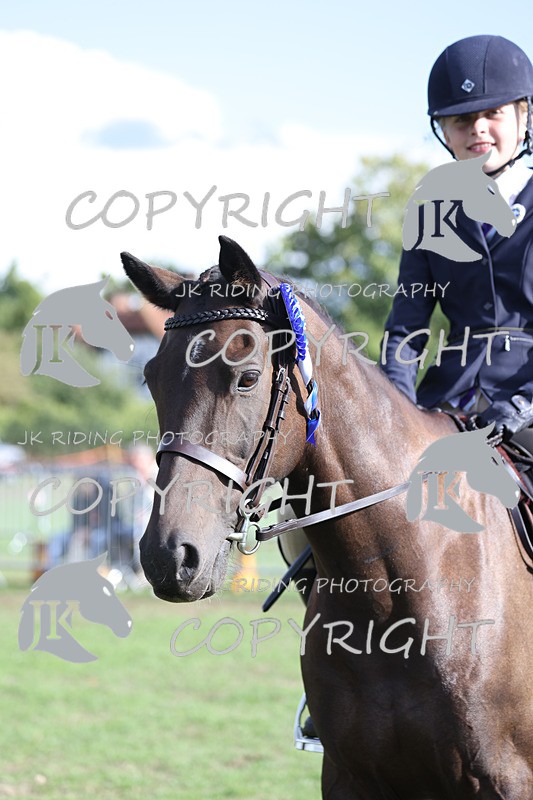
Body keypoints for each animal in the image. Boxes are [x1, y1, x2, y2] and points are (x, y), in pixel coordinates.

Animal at [122, 236, 533, 799]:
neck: (392, 591)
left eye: (248, 377)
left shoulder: (507, 779)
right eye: (151, 378)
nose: (168, 556)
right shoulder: (349, 776)